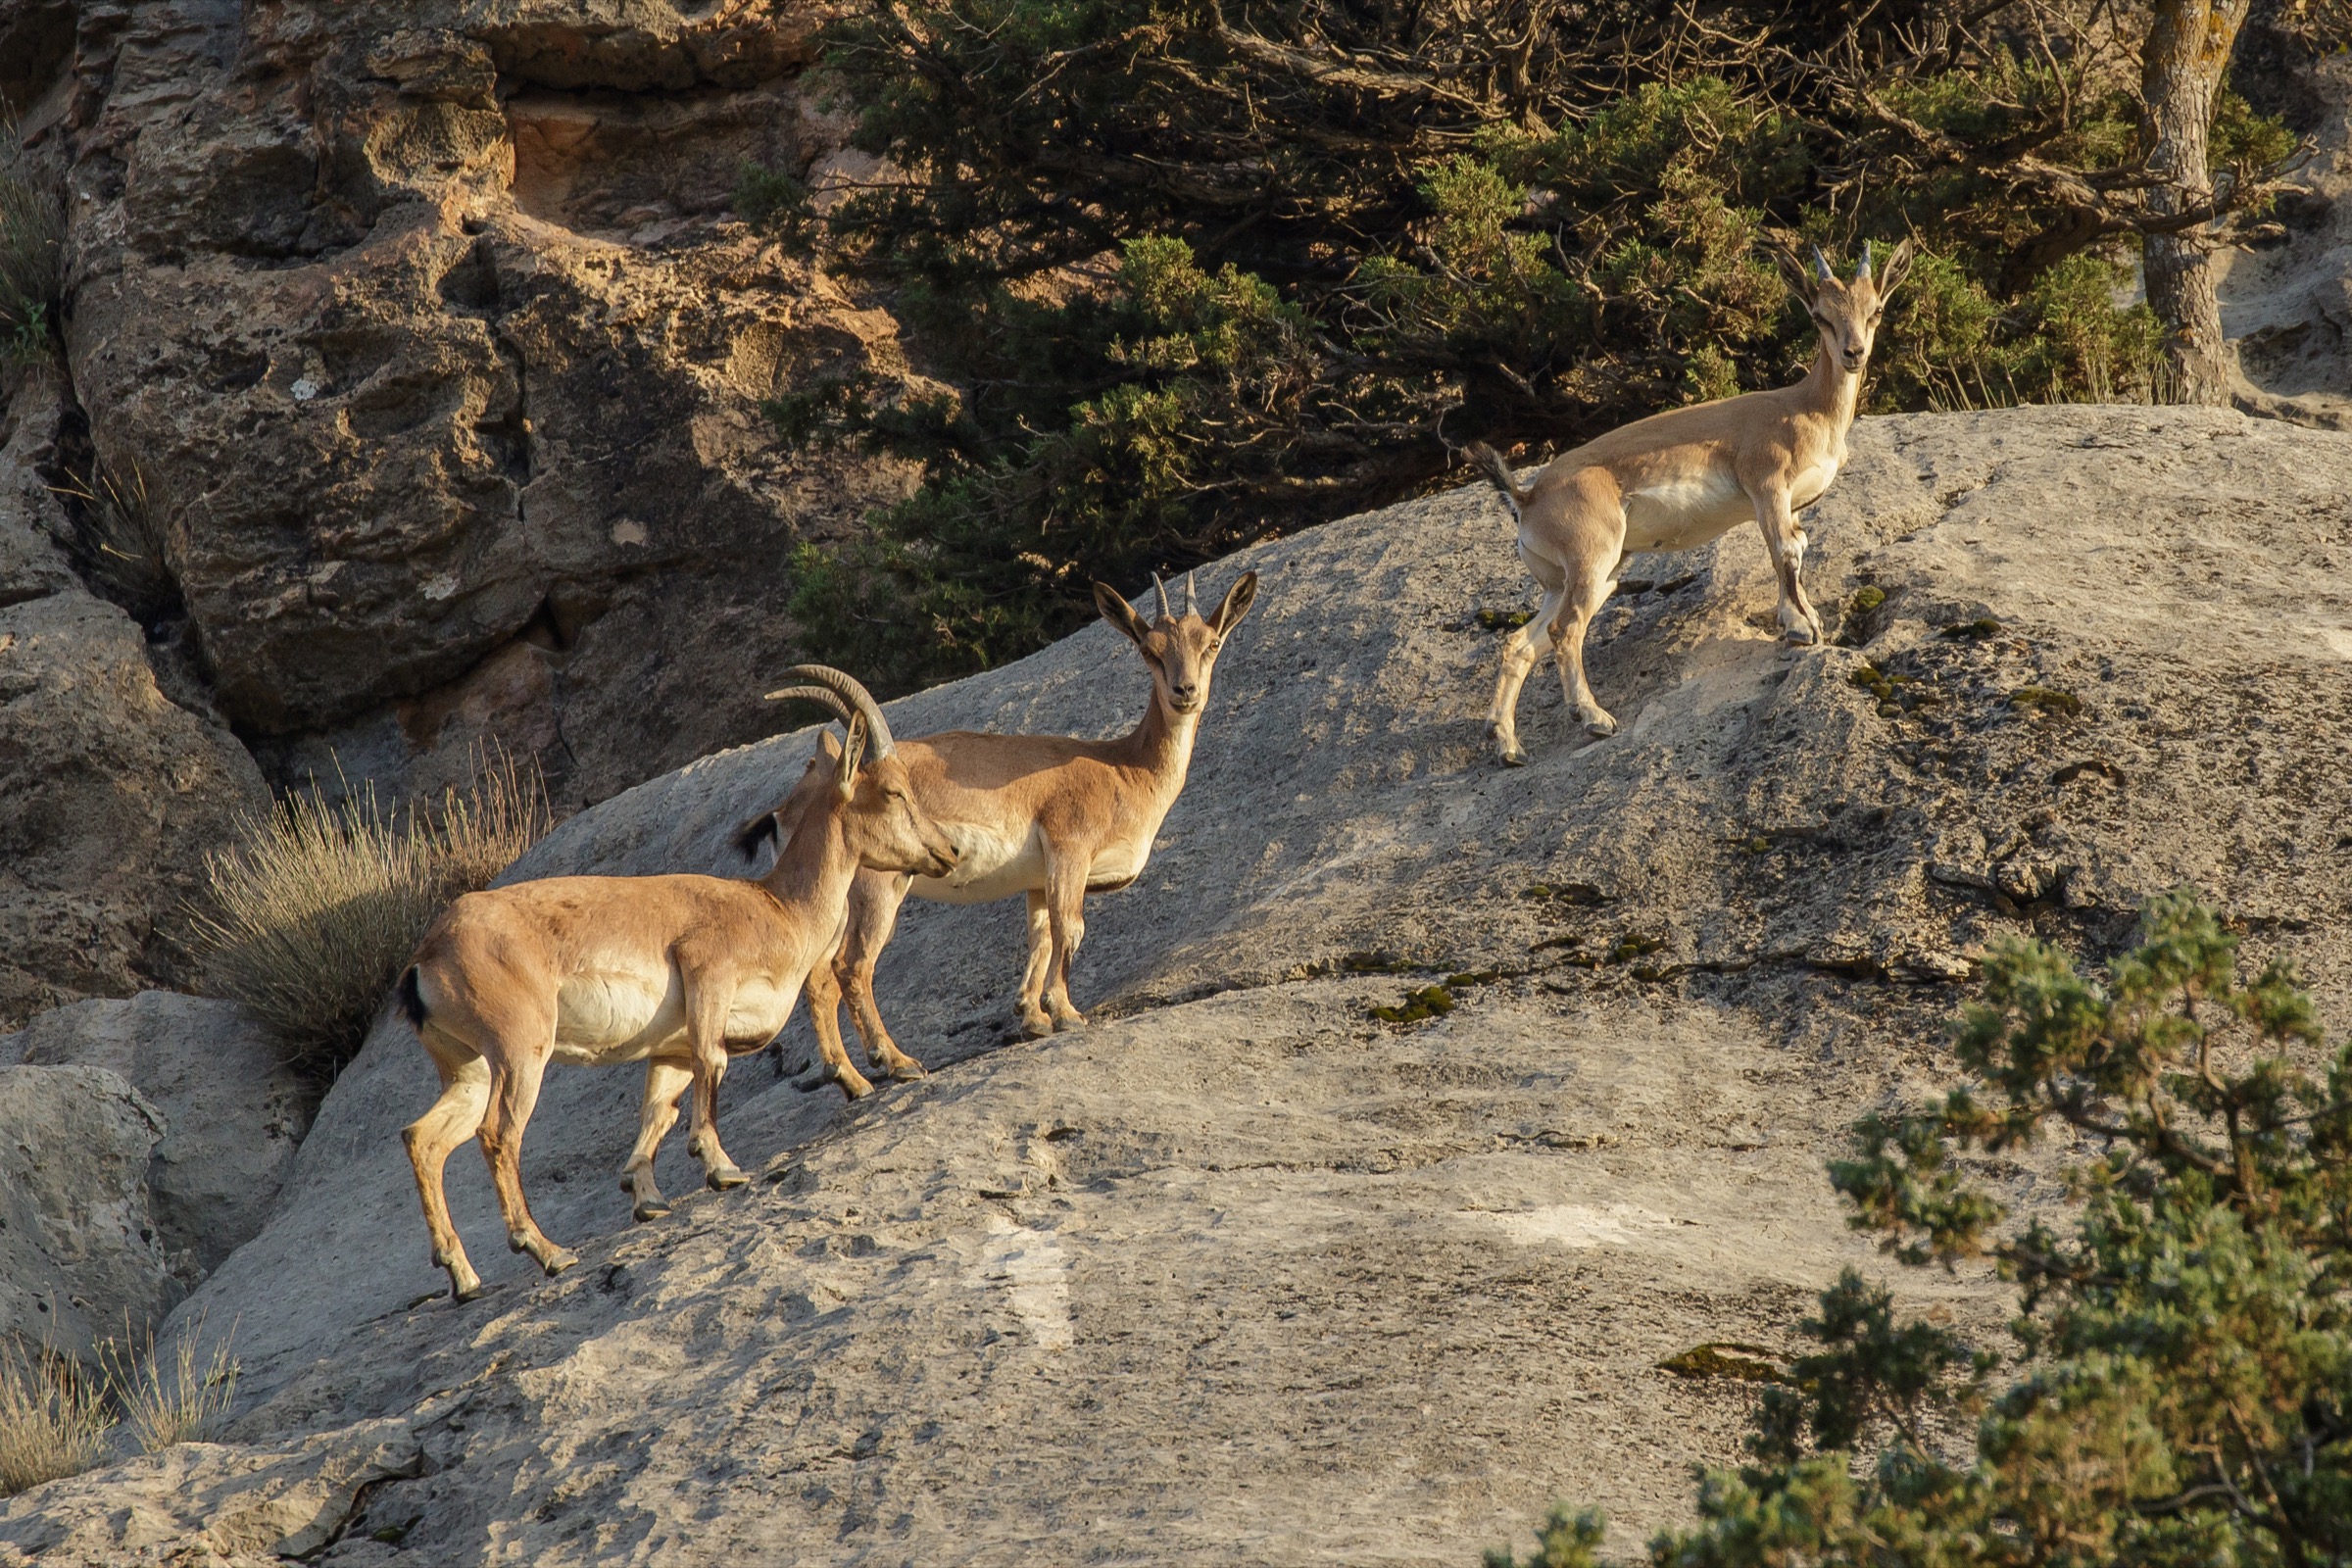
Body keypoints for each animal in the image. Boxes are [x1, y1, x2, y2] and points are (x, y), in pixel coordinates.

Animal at [396, 667, 957, 1303]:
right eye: (893, 792)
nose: (947, 851)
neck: (777, 909)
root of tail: (426, 959)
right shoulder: (708, 972)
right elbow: (716, 1066)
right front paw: (722, 1168)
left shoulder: (669, 1047)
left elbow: (658, 1110)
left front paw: (649, 1200)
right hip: (520, 1048)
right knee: (497, 1134)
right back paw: (547, 1251)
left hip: (467, 1065)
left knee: (425, 1138)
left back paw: (465, 1276)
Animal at [738, 570, 1258, 1083]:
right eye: (1149, 648)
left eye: (1211, 642)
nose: (1185, 692)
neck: (1124, 768)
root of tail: (790, 807)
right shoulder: (1070, 847)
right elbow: (1070, 928)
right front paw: (1066, 1013)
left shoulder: (1038, 880)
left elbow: (1040, 937)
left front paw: (1032, 1017)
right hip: (876, 885)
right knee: (852, 966)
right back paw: (896, 1062)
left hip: (839, 900)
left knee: (819, 978)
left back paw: (851, 1079)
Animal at [1470, 238, 1916, 763]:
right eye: (1820, 315)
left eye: (1876, 309)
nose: (1853, 353)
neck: (1804, 407)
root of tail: (1527, 496)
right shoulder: (1767, 487)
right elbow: (1784, 551)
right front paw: (1799, 628)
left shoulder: (1789, 506)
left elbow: (1798, 549)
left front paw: (1808, 619)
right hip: (1591, 560)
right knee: (1565, 631)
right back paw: (1594, 718)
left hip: (1581, 579)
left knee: (1520, 643)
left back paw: (1508, 745)